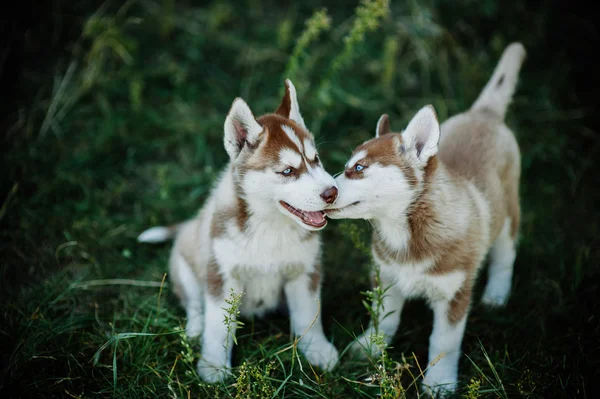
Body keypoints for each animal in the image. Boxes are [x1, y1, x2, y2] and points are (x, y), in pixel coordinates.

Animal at [138, 80, 340, 384]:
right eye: (287, 171)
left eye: (316, 159)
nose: (333, 192)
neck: (271, 225)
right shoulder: (222, 275)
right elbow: (217, 326)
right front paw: (213, 365)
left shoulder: (305, 270)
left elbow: (308, 314)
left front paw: (317, 349)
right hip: (185, 266)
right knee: (193, 303)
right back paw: (194, 329)